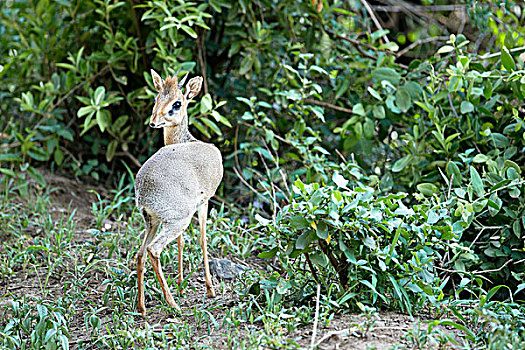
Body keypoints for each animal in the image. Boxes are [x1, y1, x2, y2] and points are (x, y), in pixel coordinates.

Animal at [134, 69, 222, 314]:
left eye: (177, 102)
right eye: (157, 98)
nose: (153, 122)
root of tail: (143, 190)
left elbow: (183, 242)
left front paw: (182, 285)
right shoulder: (204, 202)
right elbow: (203, 239)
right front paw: (210, 289)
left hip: (153, 222)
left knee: (140, 253)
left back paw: (142, 307)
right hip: (177, 220)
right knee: (154, 250)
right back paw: (172, 304)